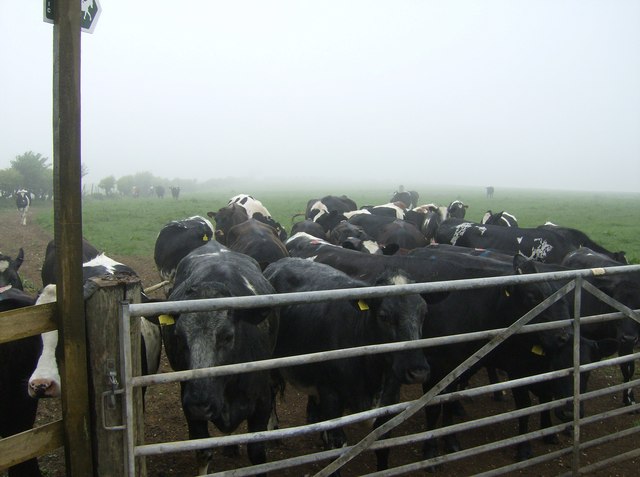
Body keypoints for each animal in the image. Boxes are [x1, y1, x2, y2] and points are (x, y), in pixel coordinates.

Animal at [160, 244, 278, 474]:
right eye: (179, 337)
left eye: (227, 336)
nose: (200, 403)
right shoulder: (190, 410)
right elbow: (204, 452)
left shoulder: (262, 402)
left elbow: (257, 453)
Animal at [262, 255, 432, 470]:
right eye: (384, 316)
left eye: (424, 313)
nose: (418, 371)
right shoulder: (331, 396)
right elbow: (336, 448)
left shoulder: (390, 402)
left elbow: (383, 446)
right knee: (272, 393)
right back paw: (272, 431)